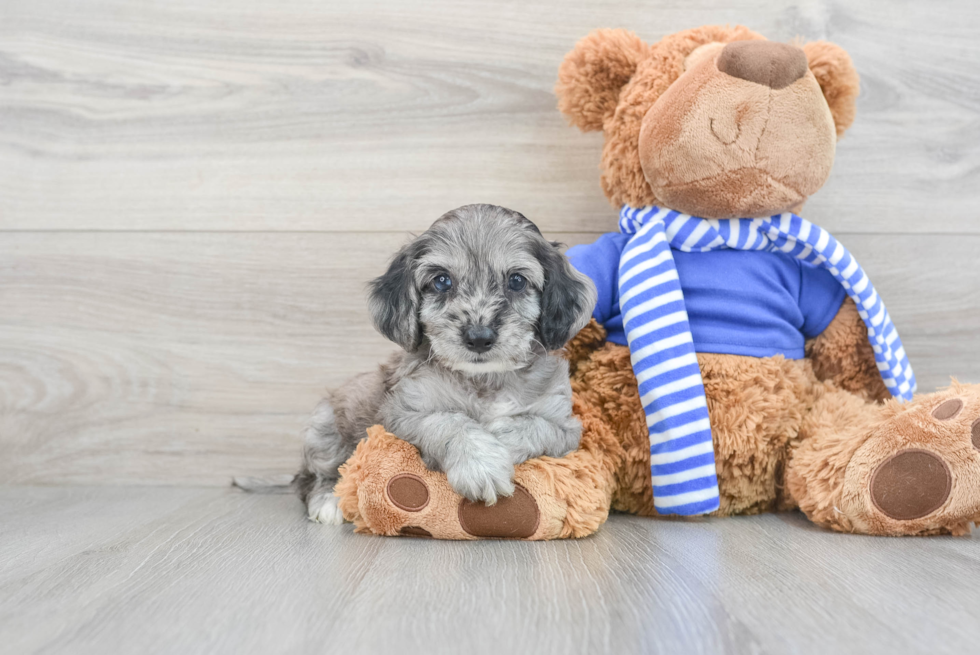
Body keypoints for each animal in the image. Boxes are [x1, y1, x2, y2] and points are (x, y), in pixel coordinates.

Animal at [296, 202, 596, 524]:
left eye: (516, 281)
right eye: (442, 281)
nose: (479, 337)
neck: (485, 380)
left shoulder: (566, 427)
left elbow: (540, 426)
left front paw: (503, 436)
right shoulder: (403, 412)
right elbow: (448, 421)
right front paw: (480, 464)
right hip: (325, 425)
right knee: (316, 473)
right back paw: (329, 500)